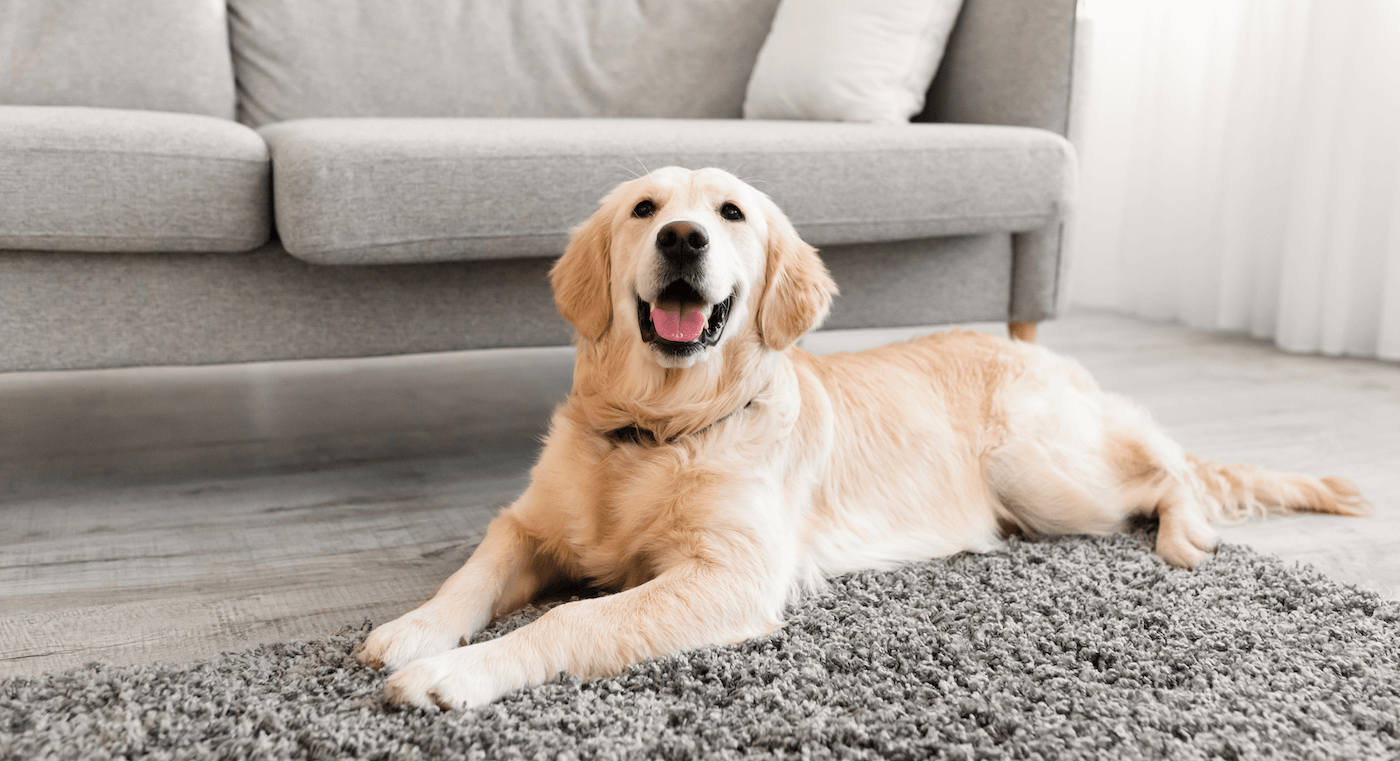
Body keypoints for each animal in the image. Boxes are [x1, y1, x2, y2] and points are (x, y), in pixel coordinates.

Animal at [355, 165, 1372, 707]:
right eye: (645, 209)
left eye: (730, 214)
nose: (683, 238)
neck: (660, 426)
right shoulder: (529, 523)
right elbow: (473, 572)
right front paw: (410, 630)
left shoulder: (730, 575)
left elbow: (575, 616)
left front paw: (456, 672)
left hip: (1044, 471)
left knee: (1166, 468)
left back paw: (1187, 535)